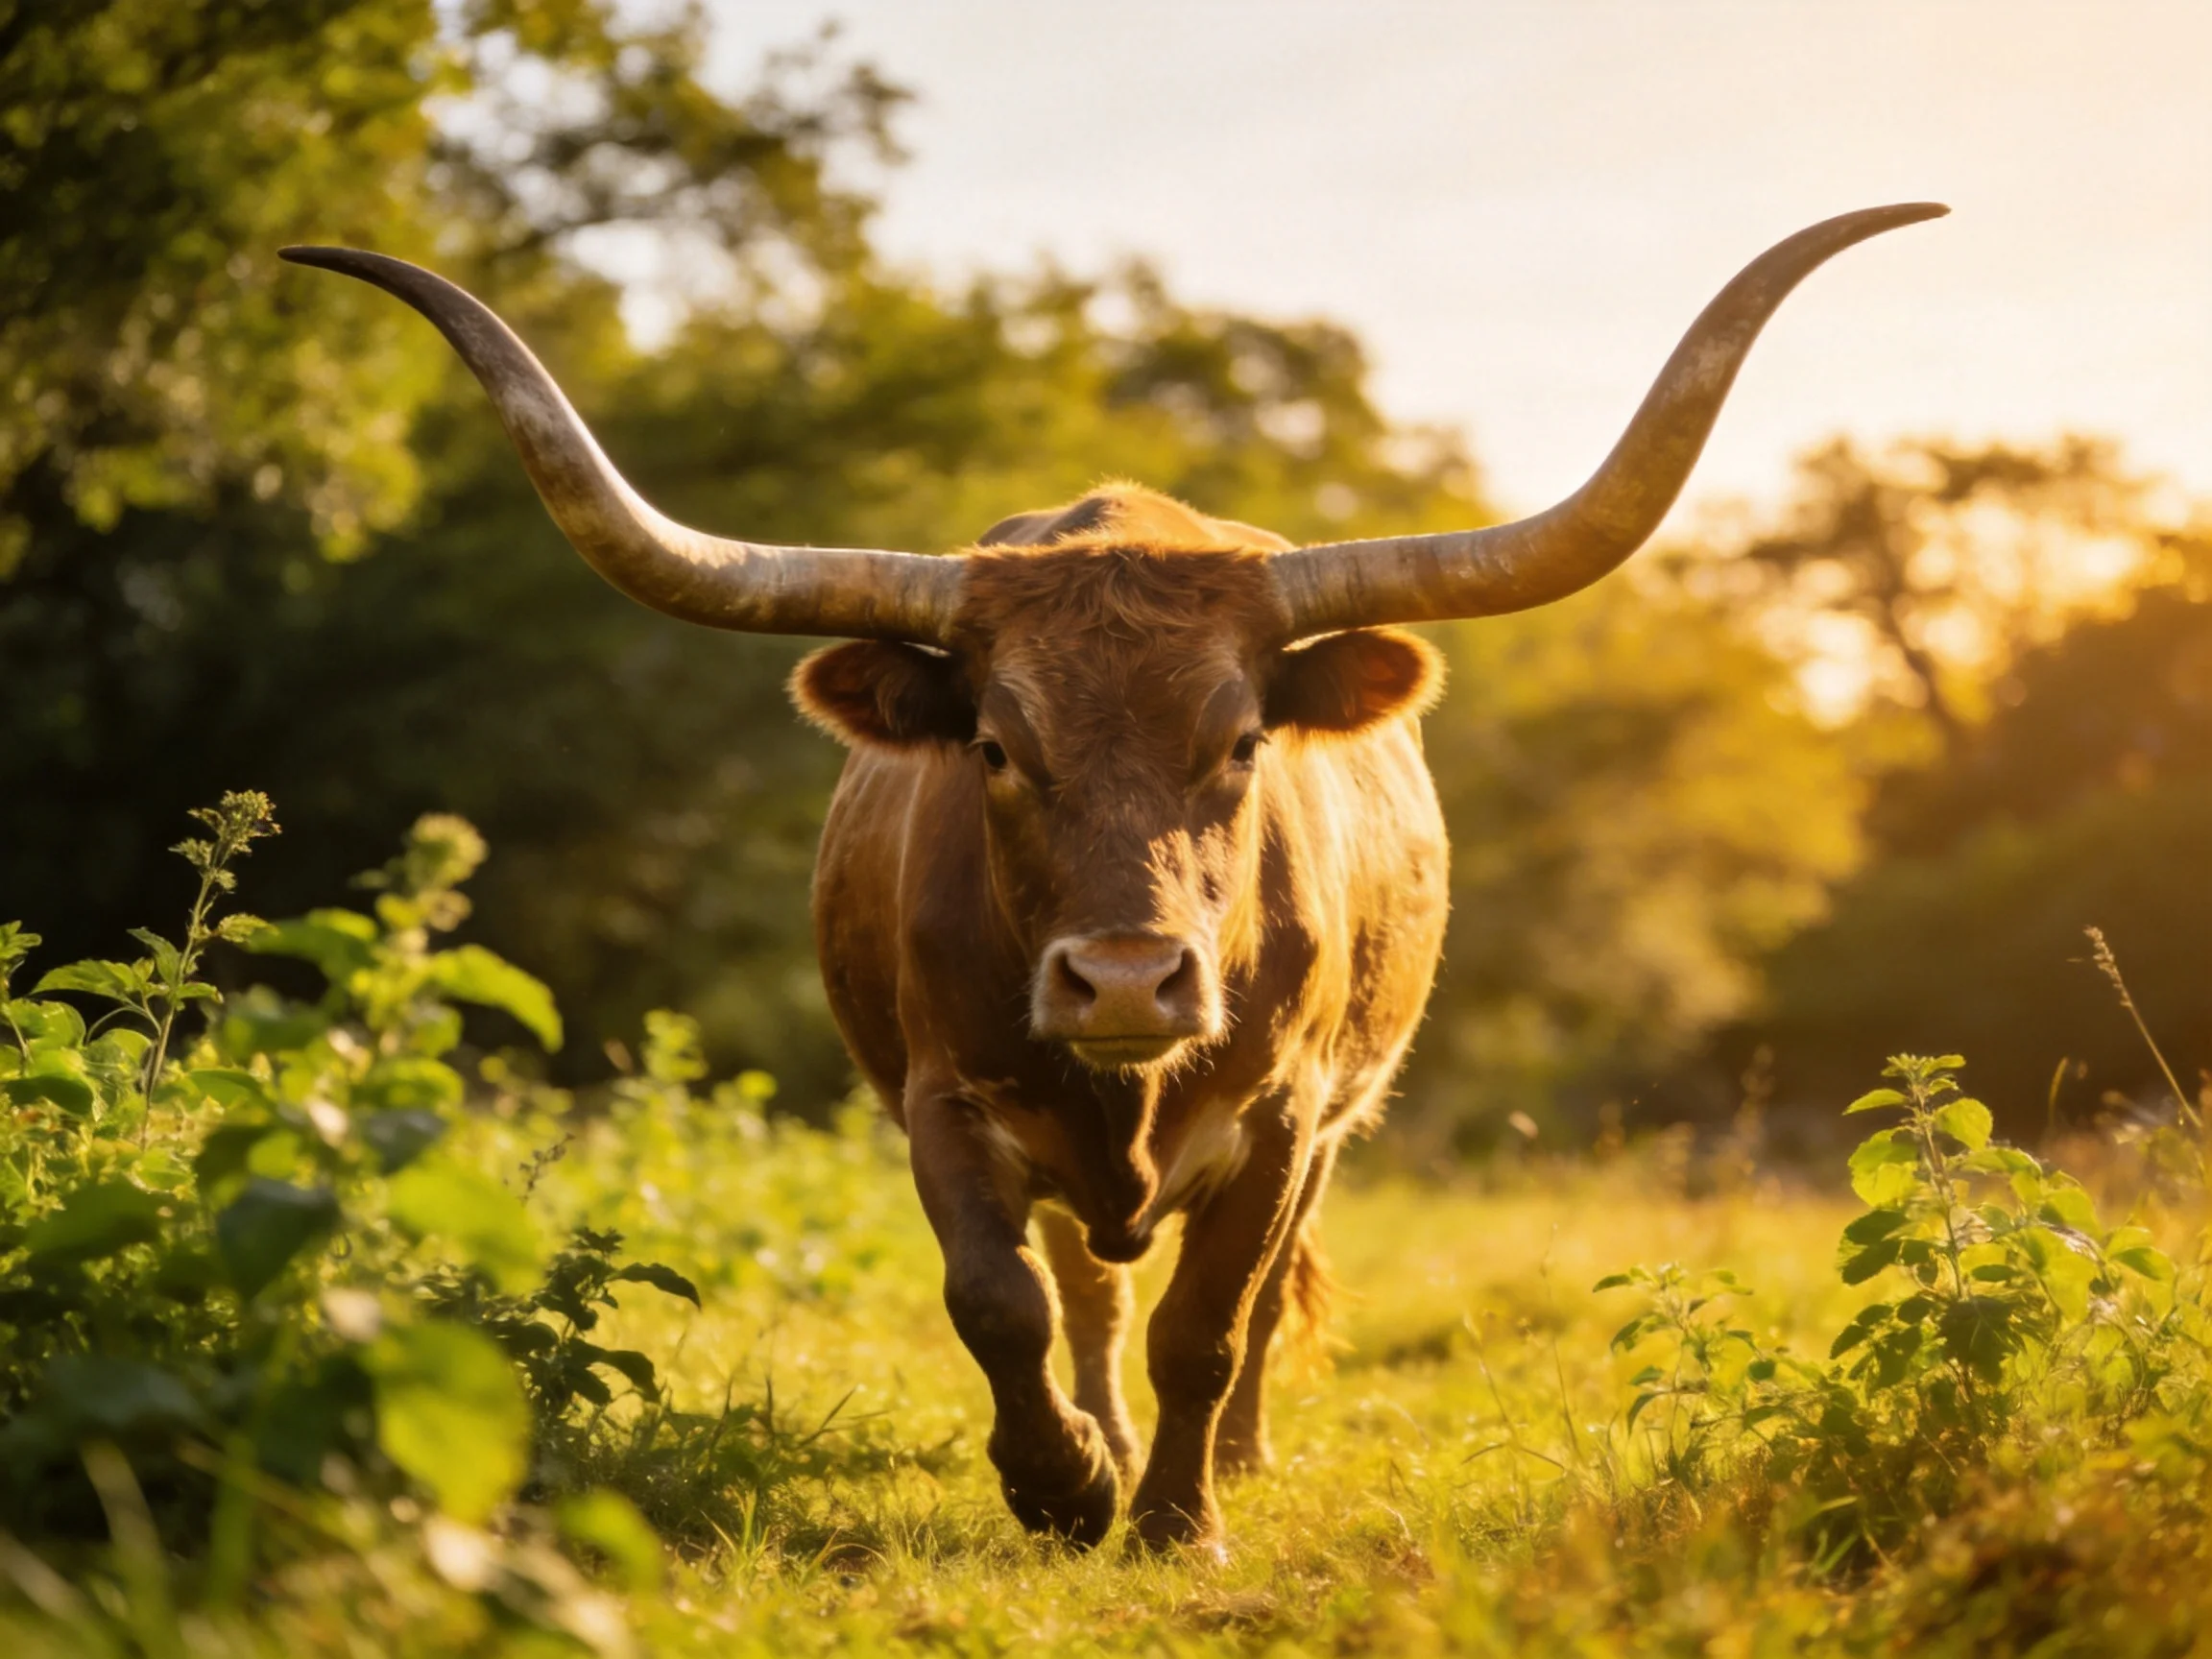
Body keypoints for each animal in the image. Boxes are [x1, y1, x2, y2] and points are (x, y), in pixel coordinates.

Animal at [283, 203, 1944, 1551]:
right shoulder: (944, 1101)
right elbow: (1000, 1301)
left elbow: (1213, 1319)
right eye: (996, 748)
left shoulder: (1282, 1116)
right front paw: (1069, 1483)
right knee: (1088, 1289)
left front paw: (1181, 1520)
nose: (1129, 979)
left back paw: (1234, 1456)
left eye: (1241, 740)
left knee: (1253, 1300)